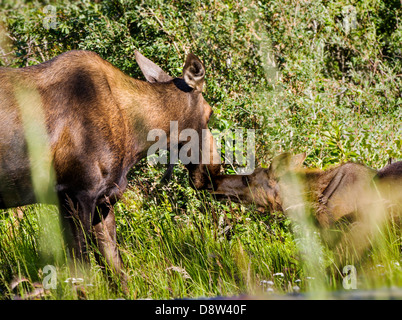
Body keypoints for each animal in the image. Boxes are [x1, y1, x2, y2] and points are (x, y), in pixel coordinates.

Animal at [0, 50, 220, 284]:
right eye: (209, 113)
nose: (214, 169)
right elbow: (82, 276)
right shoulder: (75, 195)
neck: (134, 137)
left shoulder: (102, 201)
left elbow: (117, 272)